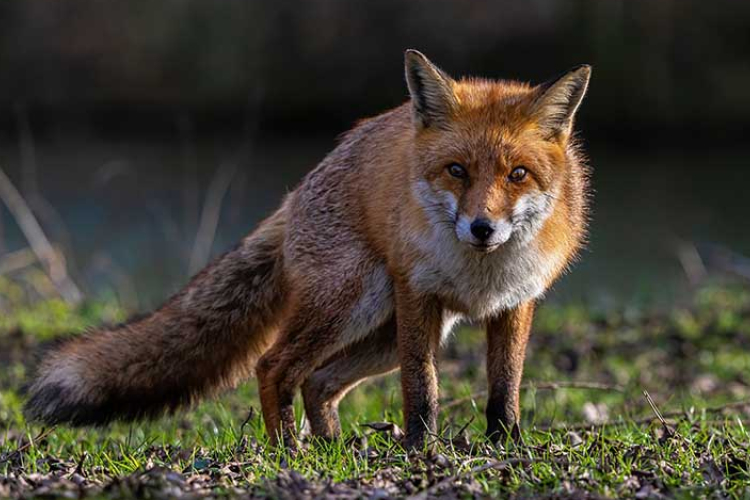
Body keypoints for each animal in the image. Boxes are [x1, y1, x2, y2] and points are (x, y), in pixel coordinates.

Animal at [25, 50, 592, 450]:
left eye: (517, 174)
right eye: (457, 170)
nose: (482, 228)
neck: (480, 274)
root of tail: (295, 192)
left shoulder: (516, 302)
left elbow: (504, 387)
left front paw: (505, 446)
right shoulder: (417, 295)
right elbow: (422, 387)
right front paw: (421, 449)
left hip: (385, 332)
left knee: (318, 380)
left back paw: (333, 447)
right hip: (357, 305)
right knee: (275, 366)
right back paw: (288, 450)